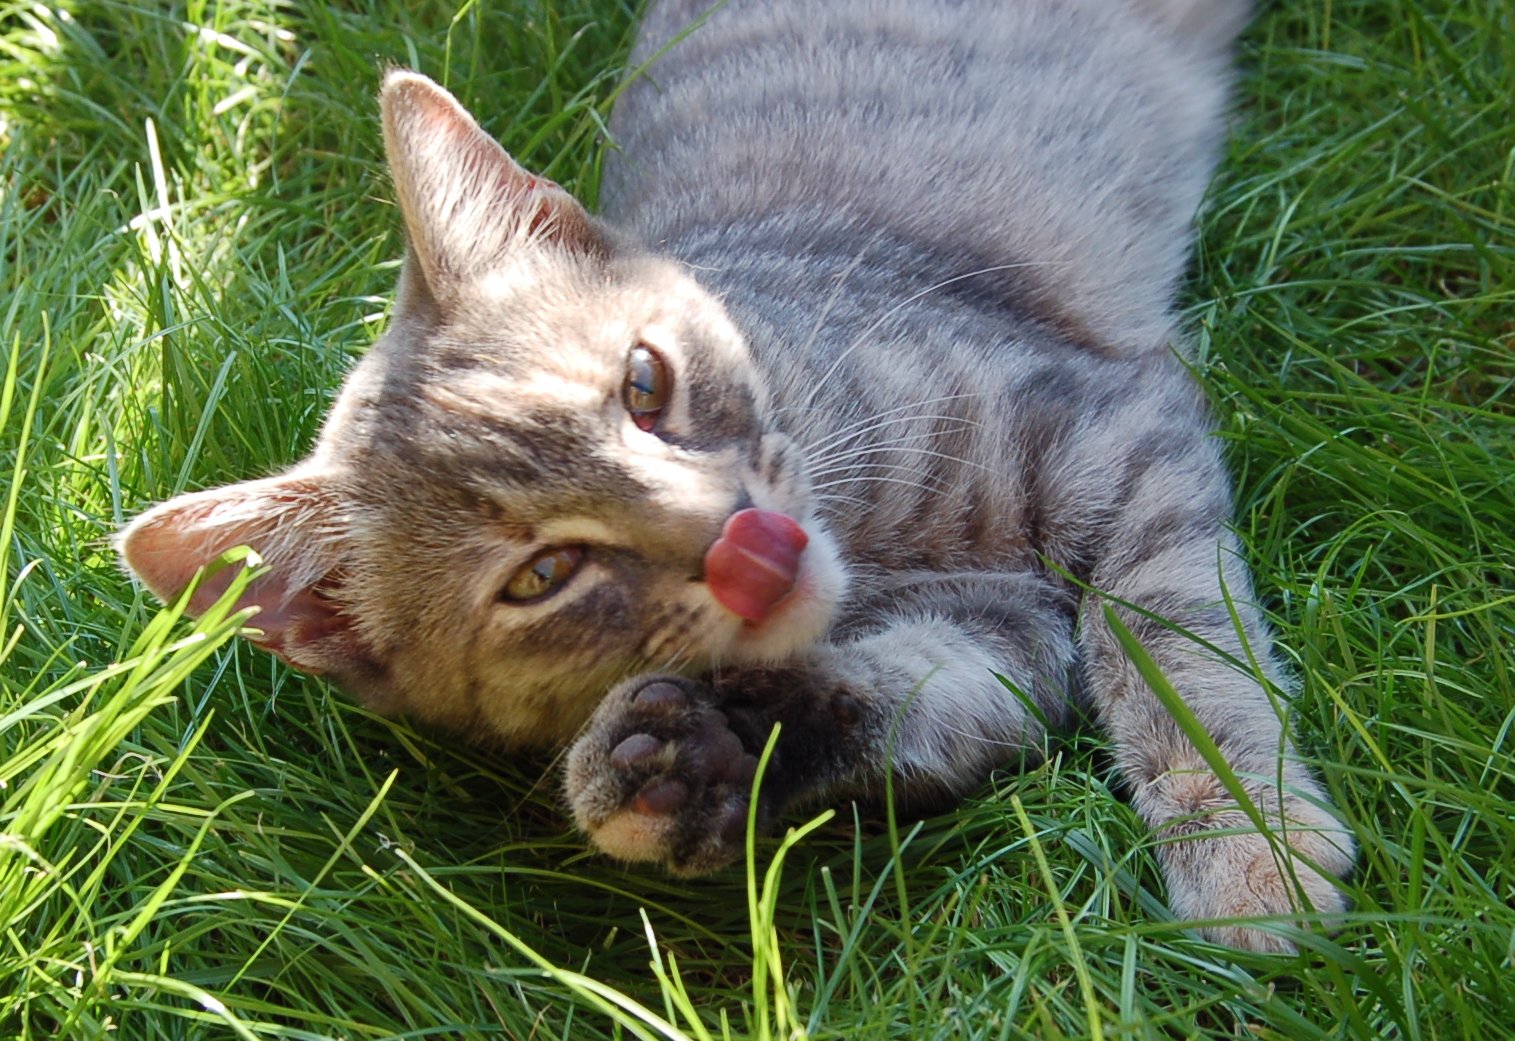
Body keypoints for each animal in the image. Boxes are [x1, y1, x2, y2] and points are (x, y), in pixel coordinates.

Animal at [118, 0, 1357, 951]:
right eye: (541, 578)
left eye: (645, 383)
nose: (744, 539)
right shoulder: (1005, 628)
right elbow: (925, 693)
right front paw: (703, 753)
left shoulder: (1114, 431)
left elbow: (1174, 655)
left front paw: (1247, 847)